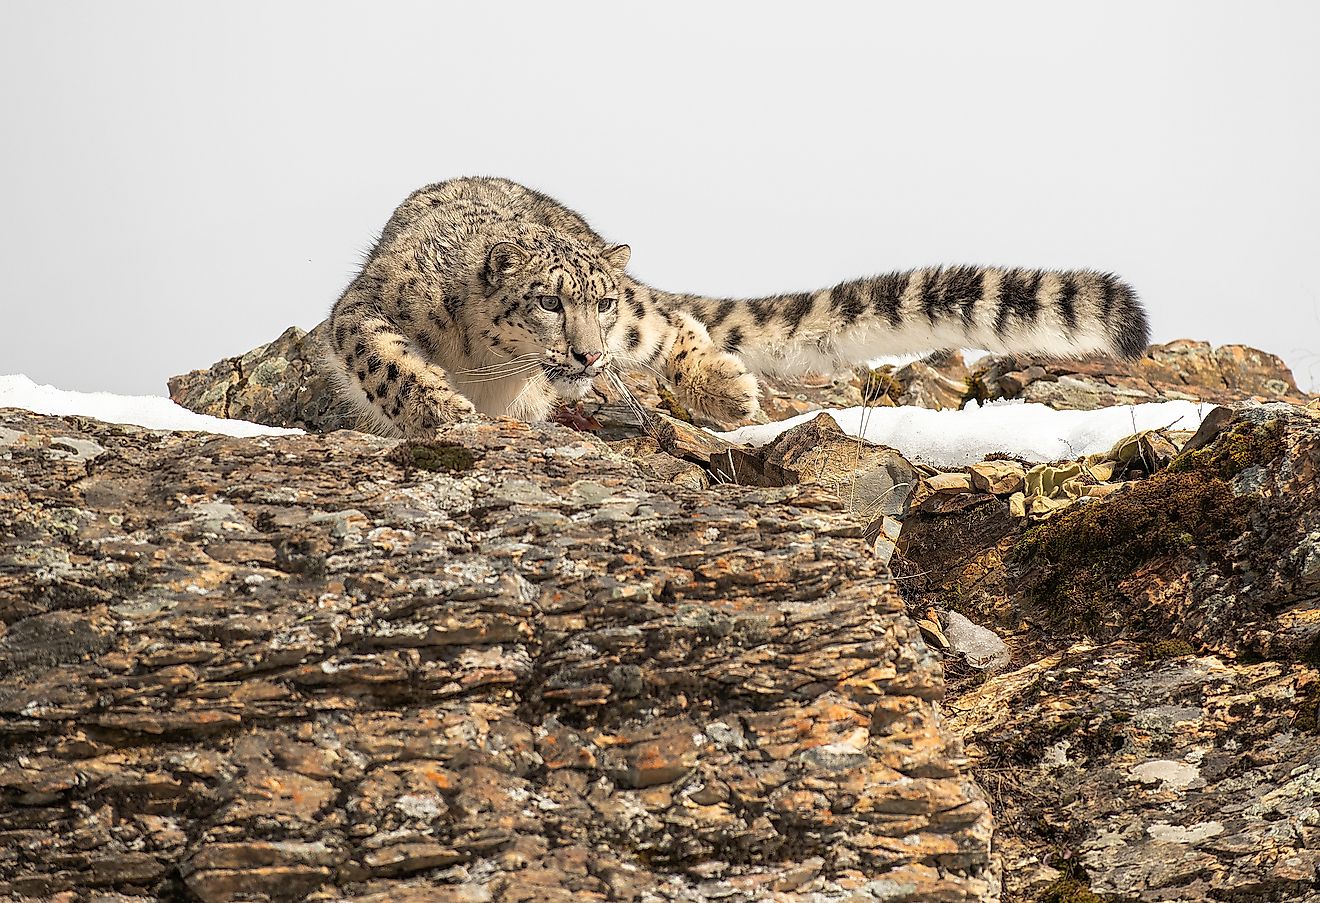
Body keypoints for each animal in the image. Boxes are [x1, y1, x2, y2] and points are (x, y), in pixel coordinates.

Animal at [322, 176, 1145, 438]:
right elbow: (384, 359)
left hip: (643, 320)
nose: (586, 353)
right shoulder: (362, 312)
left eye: (597, 302)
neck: (492, 366)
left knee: (675, 323)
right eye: (549, 302)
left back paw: (726, 388)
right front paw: (436, 405)